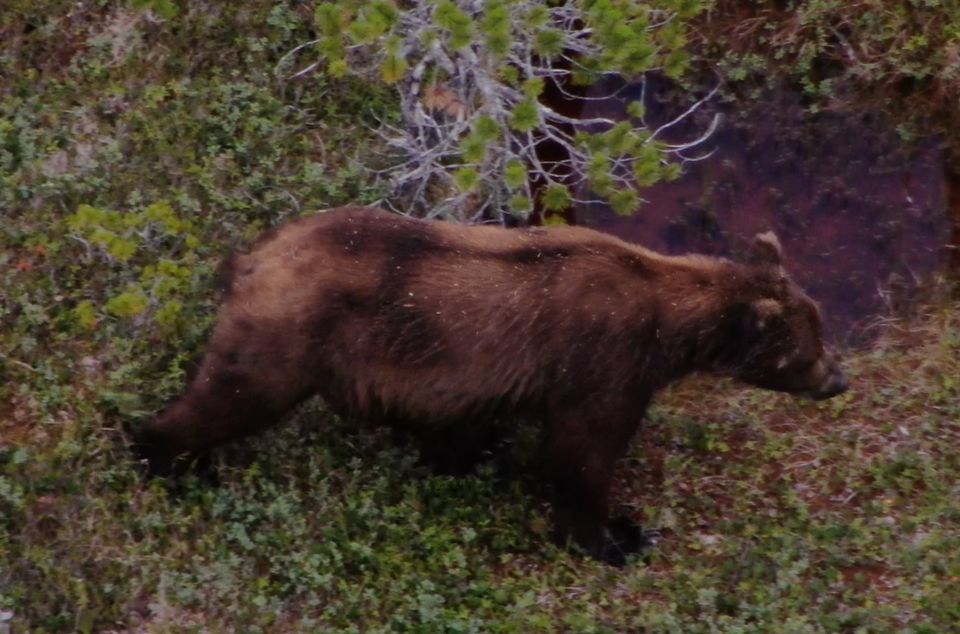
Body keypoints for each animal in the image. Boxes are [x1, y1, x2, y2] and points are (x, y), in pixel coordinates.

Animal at [135, 206, 848, 564]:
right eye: (806, 351)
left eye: (821, 327)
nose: (838, 379)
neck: (666, 322)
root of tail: (253, 257)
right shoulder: (601, 362)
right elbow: (582, 455)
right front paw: (619, 536)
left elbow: (468, 427)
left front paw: (467, 456)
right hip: (291, 335)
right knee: (233, 395)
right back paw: (170, 457)